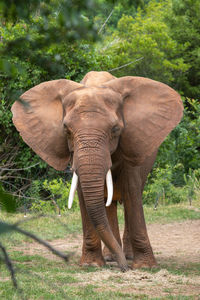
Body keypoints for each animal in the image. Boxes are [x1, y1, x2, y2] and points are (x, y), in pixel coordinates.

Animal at [10, 71, 183, 272]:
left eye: (115, 129)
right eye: (66, 130)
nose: (124, 269)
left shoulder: (132, 142)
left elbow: (131, 191)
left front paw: (146, 267)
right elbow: (84, 195)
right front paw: (91, 264)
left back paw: (127, 256)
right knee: (109, 202)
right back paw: (111, 257)